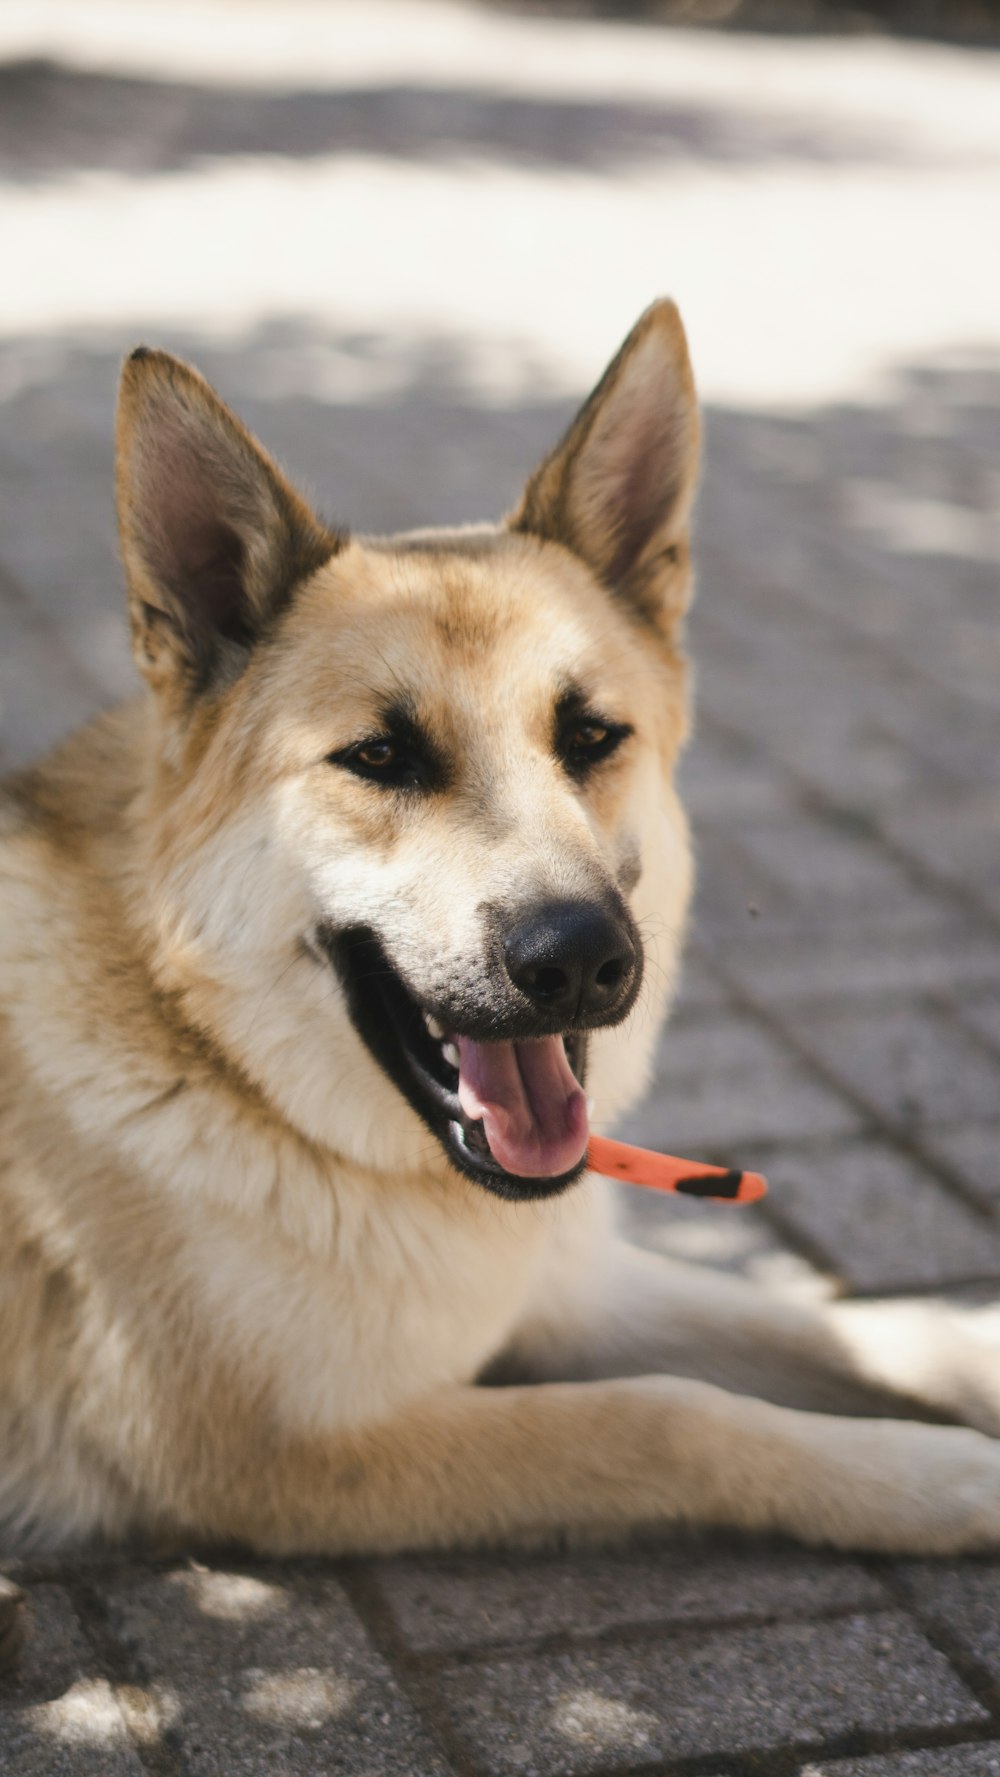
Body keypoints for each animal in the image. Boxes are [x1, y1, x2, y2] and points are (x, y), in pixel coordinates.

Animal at [1, 302, 1000, 1556]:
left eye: (591, 736)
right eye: (380, 756)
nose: (576, 960)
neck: (235, 1077)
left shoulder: (571, 1285)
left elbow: (855, 1324)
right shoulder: (290, 1457)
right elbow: (667, 1414)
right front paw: (938, 1476)